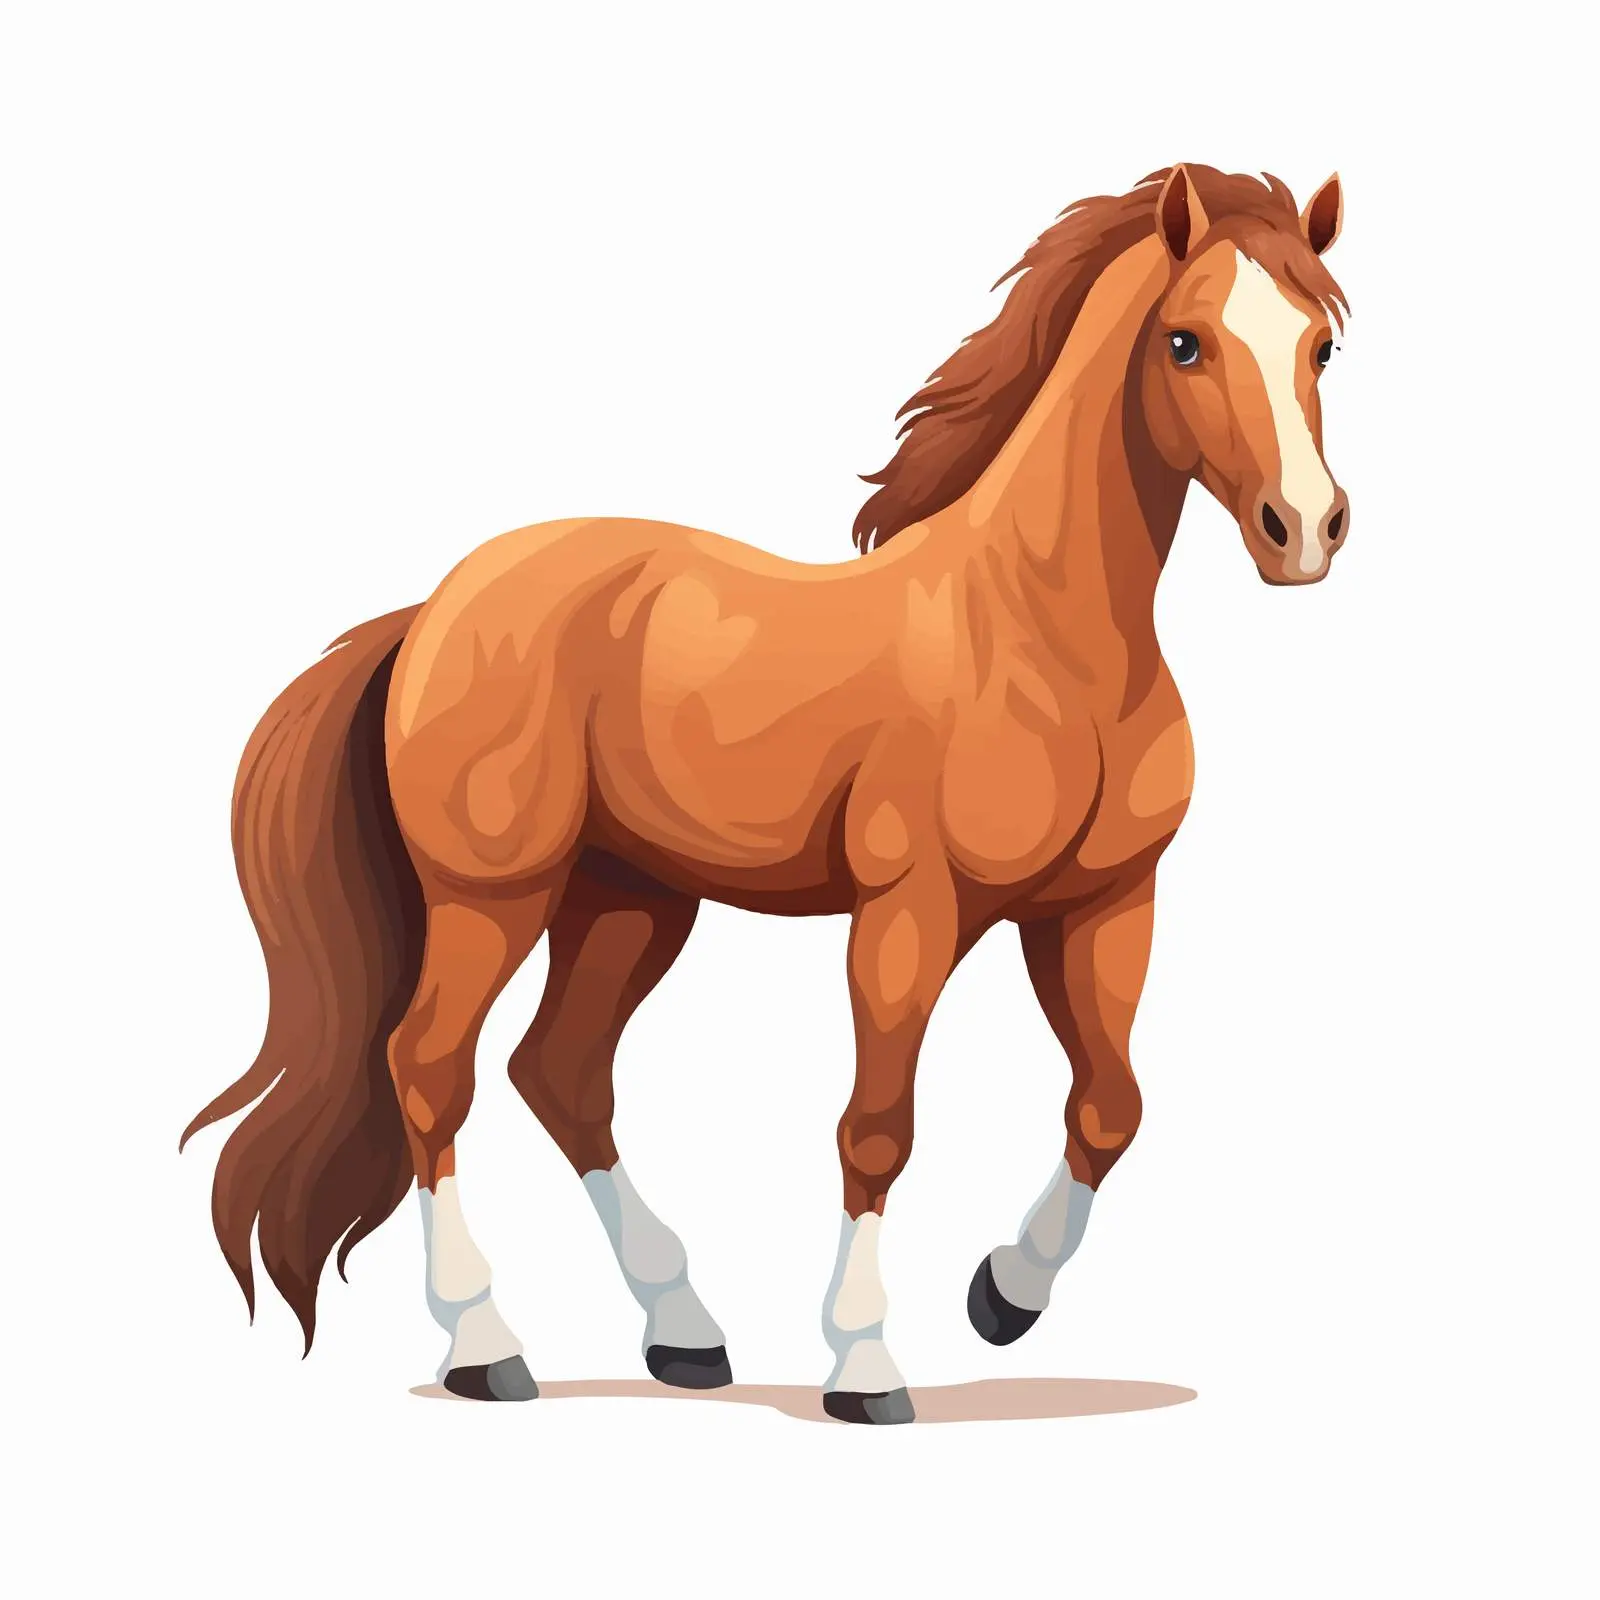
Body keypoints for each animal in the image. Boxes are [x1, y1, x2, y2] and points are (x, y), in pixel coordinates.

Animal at [182, 163, 1350, 1423]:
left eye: (1323, 343)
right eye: (1184, 341)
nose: (1303, 530)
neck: (1039, 637)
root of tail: (434, 609)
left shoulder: (1103, 907)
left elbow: (1109, 1106)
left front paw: (1002, 1297)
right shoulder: (908, 913)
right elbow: (876, 1127)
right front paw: (865, 1366)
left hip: (629, 898)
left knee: (561, 1073)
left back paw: (686, 1334)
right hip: (493, 896)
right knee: (430, 1070)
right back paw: (487, 1348)